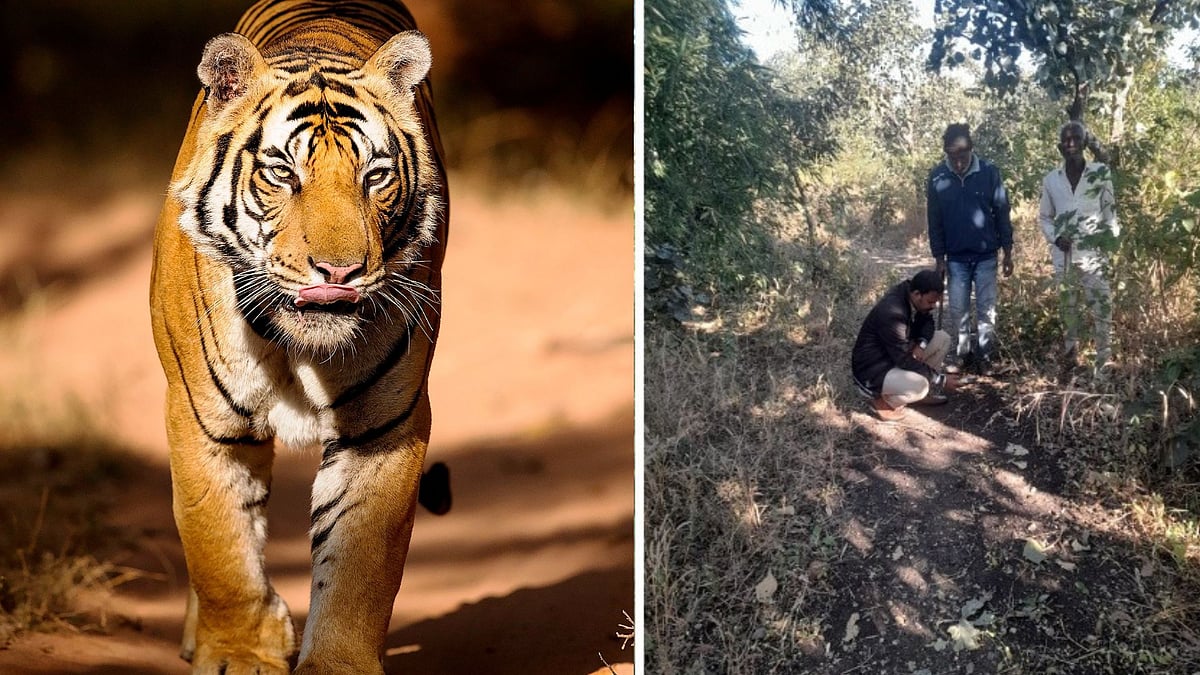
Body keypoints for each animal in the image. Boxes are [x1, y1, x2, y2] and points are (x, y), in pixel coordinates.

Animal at [149, 1, 450, 672]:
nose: (339, 271)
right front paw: (239, 653)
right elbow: (219, 545)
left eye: (375, 176)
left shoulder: (383, 427)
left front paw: (337, 663)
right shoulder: (202, 420)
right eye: (282, 174)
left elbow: (362, 565)